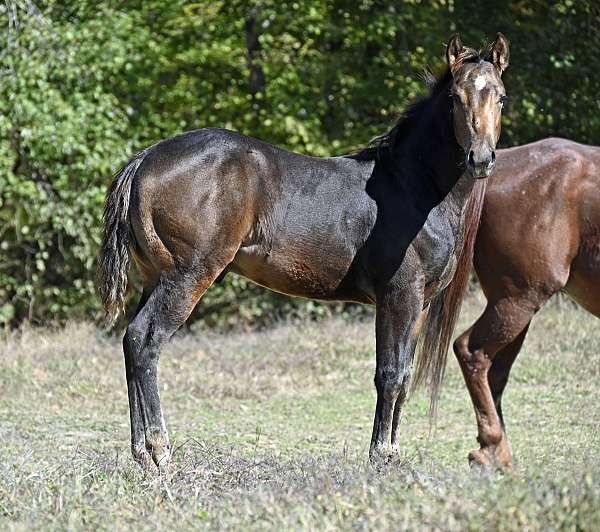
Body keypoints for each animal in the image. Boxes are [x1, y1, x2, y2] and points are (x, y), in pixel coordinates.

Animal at [96, 34, 508, 470]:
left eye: (501, 97)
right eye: (454, 98)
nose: (481, 159)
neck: (412, 186)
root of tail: (146, 159)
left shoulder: (421, 303)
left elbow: (405, 374)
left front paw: (393, 454)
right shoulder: (399, 295)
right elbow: (389, 373)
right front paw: (380, 455)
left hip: (155, 277)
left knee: (130, 340)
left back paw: (141, 453)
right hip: (188, 276)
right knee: (146, 341)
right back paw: (159, 450)